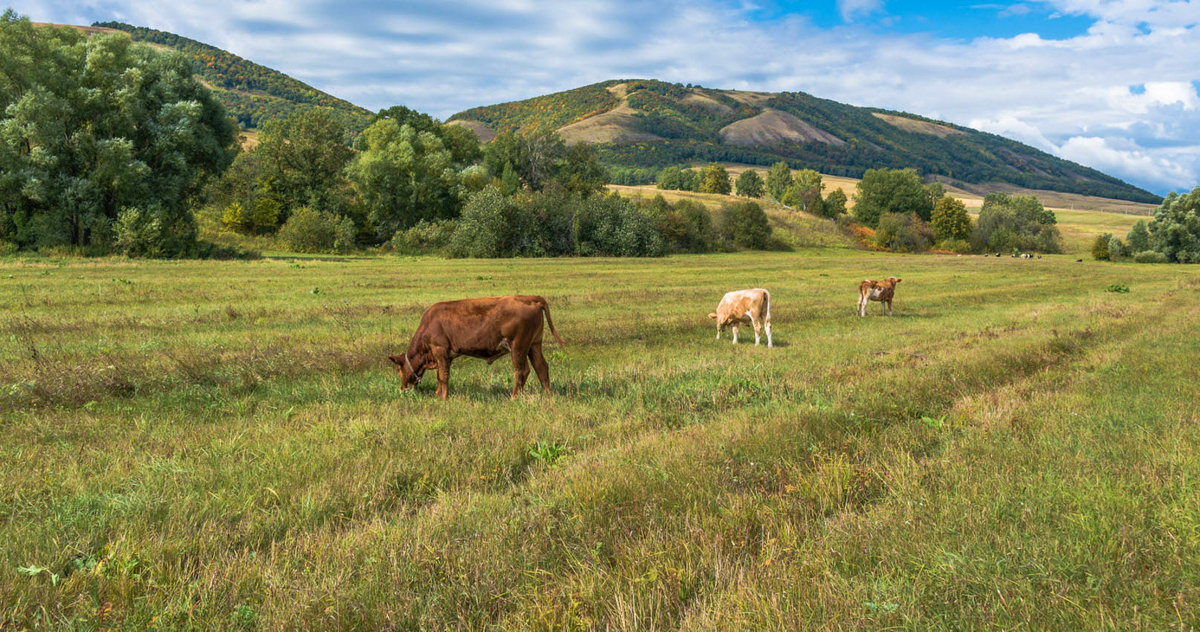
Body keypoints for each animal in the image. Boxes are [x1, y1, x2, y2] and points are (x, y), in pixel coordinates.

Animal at [388, 297, 566, 400]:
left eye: (398, 369)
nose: (402, 388)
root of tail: (531, 299)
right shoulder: (445, 356)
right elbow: (440, 375)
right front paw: (438, 394)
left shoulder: (440, 349)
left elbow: (443, 376)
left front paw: (443, 397)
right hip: (534, 344)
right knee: (541, 367)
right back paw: (547, 395)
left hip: (518, 346)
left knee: (522, 370)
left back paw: (514, 397)